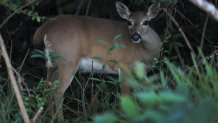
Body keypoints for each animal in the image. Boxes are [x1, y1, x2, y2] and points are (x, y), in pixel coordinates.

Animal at [33, 1, 161, 121]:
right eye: (129, 22)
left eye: (146, 22)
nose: (135, 37)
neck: (144, 52)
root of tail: (44, 29)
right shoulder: (124, 65)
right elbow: (126, 96)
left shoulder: (142, 72)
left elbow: (145, 94)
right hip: (68, 61)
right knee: (58, 91)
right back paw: (60, 119)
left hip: (52, 64)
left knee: (48, 86)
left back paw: (49, 117)